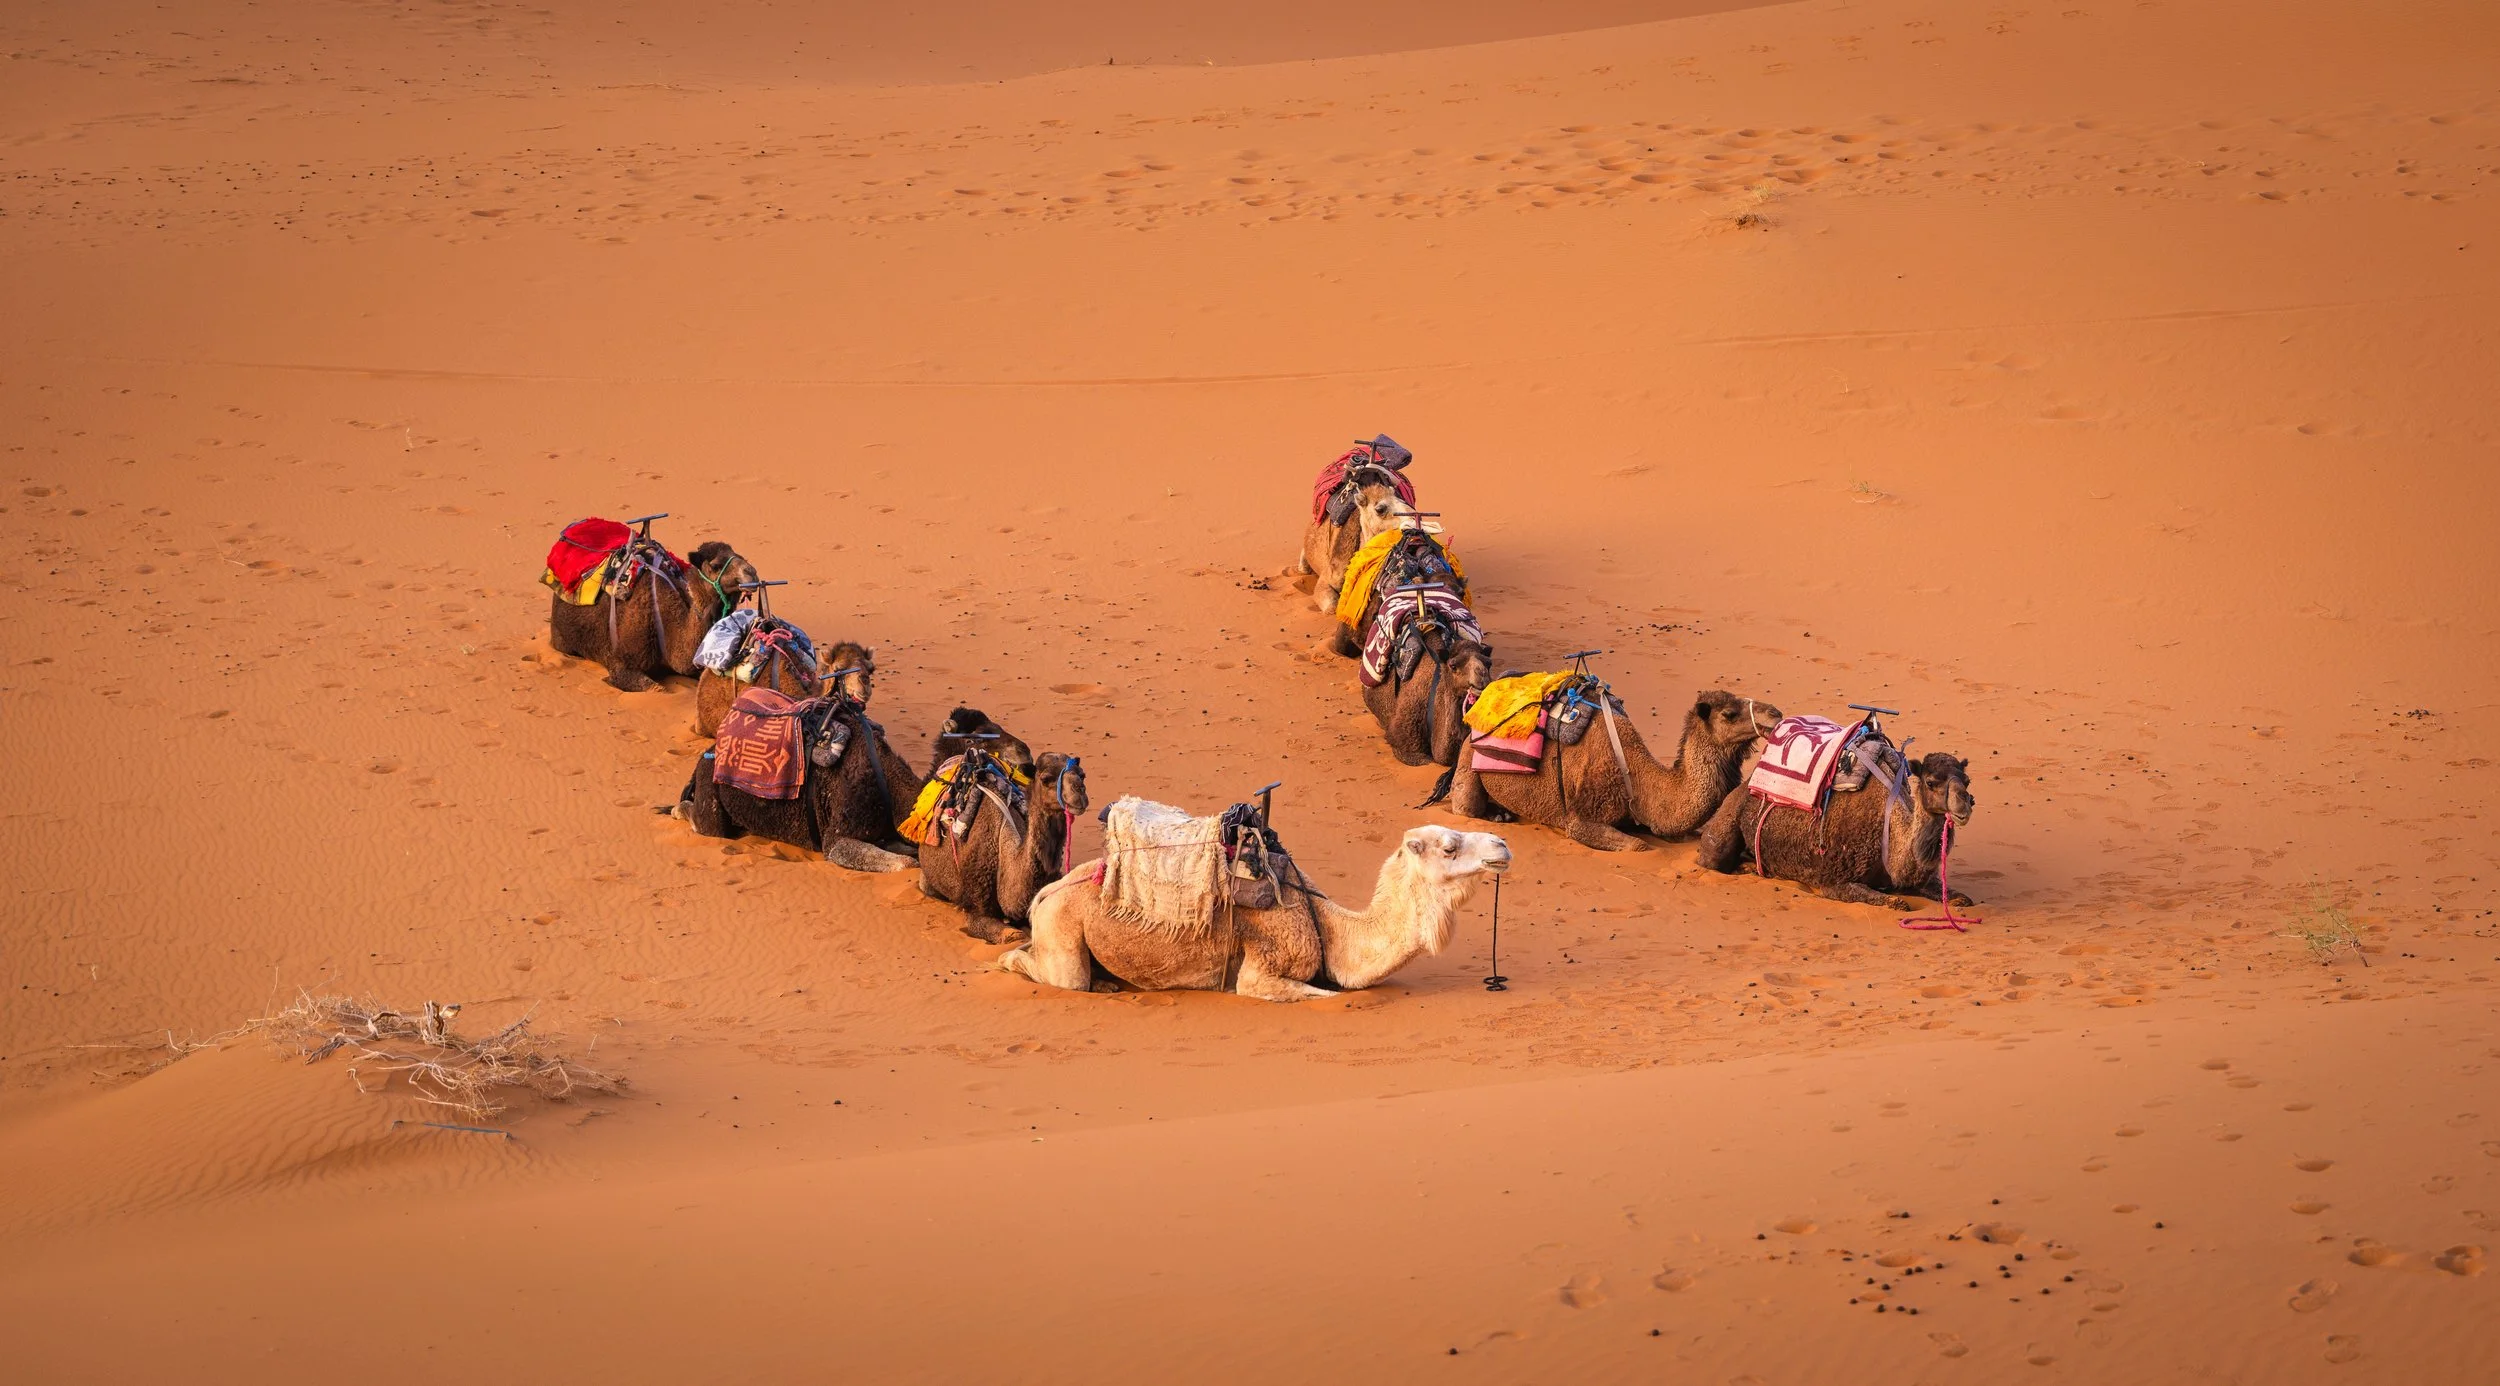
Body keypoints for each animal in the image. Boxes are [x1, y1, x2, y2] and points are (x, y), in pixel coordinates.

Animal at [550, 539, 758, 691]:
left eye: (739, 555)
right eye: (715, 565)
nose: (751, 573)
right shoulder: (622, 665)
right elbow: (657, 689)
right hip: (561, 638)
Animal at [1001, 824, 1511, 1001]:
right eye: (1449, 846)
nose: (1502, 844)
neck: (1325, 925)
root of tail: (1043, 895)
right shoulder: (1262, 969)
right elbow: (1321, 995)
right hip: (1062, 930)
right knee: (1041, 969)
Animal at [1445, 689, 1779, 852]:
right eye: (1729, 714)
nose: (1775, 712)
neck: (1638, 778)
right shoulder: (1581, 818)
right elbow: (1638, 846)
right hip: (1467, 758)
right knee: (1465, 807)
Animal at [1694, 748, 1977, 909]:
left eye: (1966, 780)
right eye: (1931, 782)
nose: (1966, 803)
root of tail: (1743, 787)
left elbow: (1959, 896)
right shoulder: (1834, 882)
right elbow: (1895, 903)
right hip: (1724, 827)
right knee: (1712, 860)